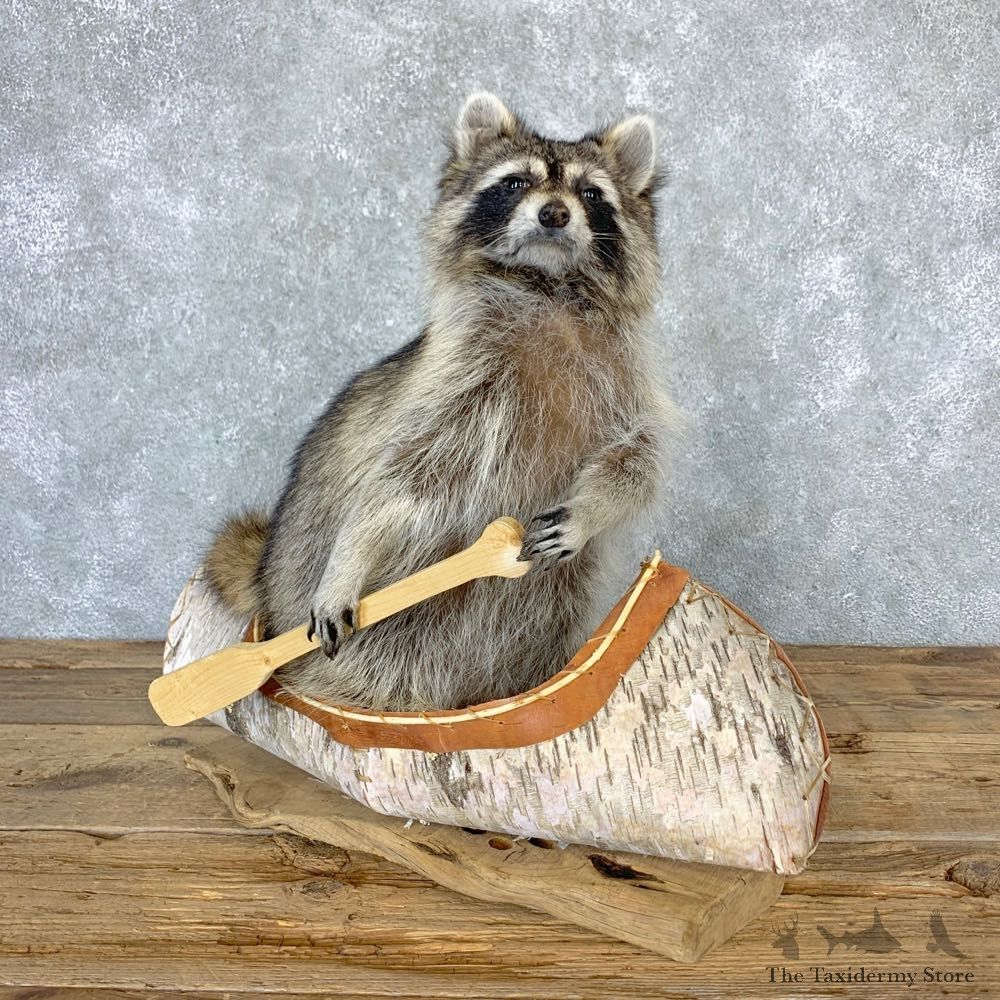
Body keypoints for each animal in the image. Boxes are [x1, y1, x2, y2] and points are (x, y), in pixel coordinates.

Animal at [205, 92, 676, 711]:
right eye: (515, 183)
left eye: (592, 194)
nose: (554, 213)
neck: (547, 286)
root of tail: (265, 577)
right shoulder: (451, 382)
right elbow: (394, 484)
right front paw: (347, 562)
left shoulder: (628, 380)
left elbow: (637, 461)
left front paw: (591, 509)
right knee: (381, 662)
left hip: (553, 602)